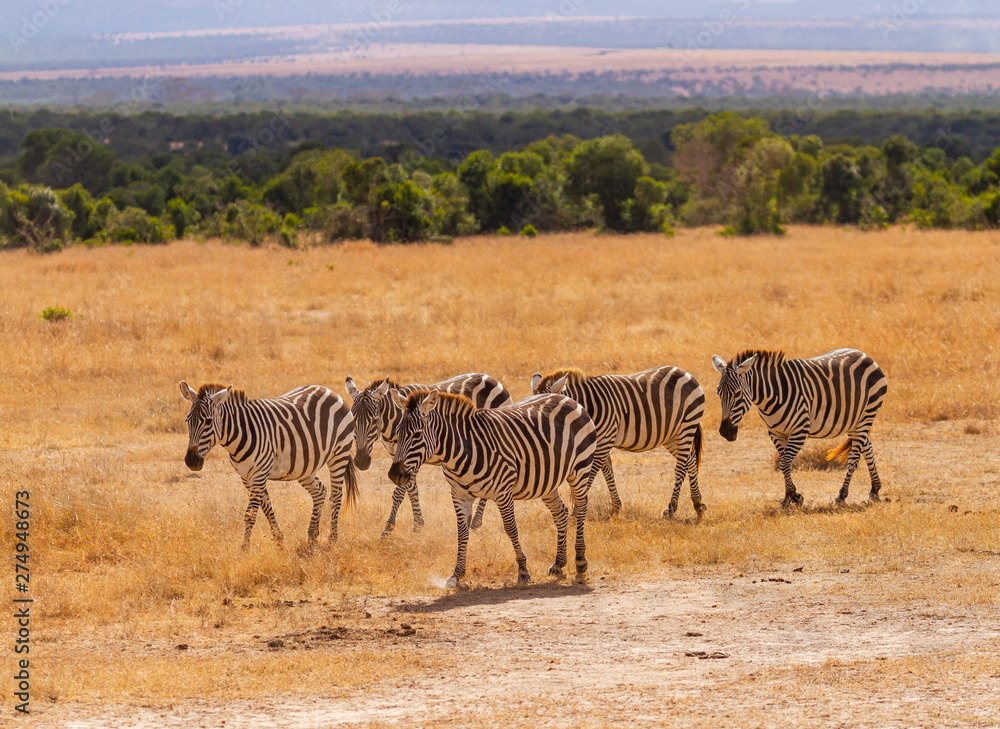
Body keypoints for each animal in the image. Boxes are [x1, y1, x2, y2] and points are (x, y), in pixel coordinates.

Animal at [180, 381, 357, 546]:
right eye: (187, 421)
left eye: (208, 421)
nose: (191, 461)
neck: (241, 433)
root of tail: (329, 391)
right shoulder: (246, 477)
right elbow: (266, 507)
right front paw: (279, 540)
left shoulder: (259, 474)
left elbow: (250, 514)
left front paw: (245, 549)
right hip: (305, 465)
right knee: (320, 491)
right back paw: (312, 536)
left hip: (339, 454)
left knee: (336, 495)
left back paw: (332, 539)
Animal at [345, 373, 512, 536]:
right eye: (352, 421)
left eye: (374, 421)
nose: (361, 462)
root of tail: (492, 379)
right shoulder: (398, 456)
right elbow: (412, 489)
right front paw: (418, 524)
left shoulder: (415, 454)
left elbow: (400, 492)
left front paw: (388, 528)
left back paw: (476, 522)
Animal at [387, 390, 597, 588]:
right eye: (397, 432)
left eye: (417, 434)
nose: (394, 475)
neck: (461, 451)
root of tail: (568, 399)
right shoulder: (459, 494)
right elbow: (462, 532)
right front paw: (456, 574)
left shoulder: (503, 492)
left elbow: (511, 528)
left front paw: (523, 570)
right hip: (547, 481)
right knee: (561, 513)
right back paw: (558, 563)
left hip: (580, 469)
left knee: (581, 508)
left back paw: (580, 560)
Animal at [531, 366, 706, 519]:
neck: (588, 407)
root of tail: (684, 372)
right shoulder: (600, 442)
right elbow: (607, 470)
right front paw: (616, 507)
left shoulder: (604, 441)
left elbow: (591, 475)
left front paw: (576, 511)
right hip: (671, 435)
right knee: (690, 459)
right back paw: (698, 504)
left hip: (686, 425)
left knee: (680, 466)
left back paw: (671, 509)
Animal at [711, 349, 888, 505]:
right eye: (718, 393)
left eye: (737, 393)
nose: (725, 432)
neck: (772, 396)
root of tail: (864, 355)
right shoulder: (776, 432)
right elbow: (785, 463)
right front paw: (788, 497)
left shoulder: (800, 430)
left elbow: (784, 463)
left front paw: (794, 496)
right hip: (852, 420)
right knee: (867, 446)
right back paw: (875, 489)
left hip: (867, 414)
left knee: (854, 457)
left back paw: (842, 495)